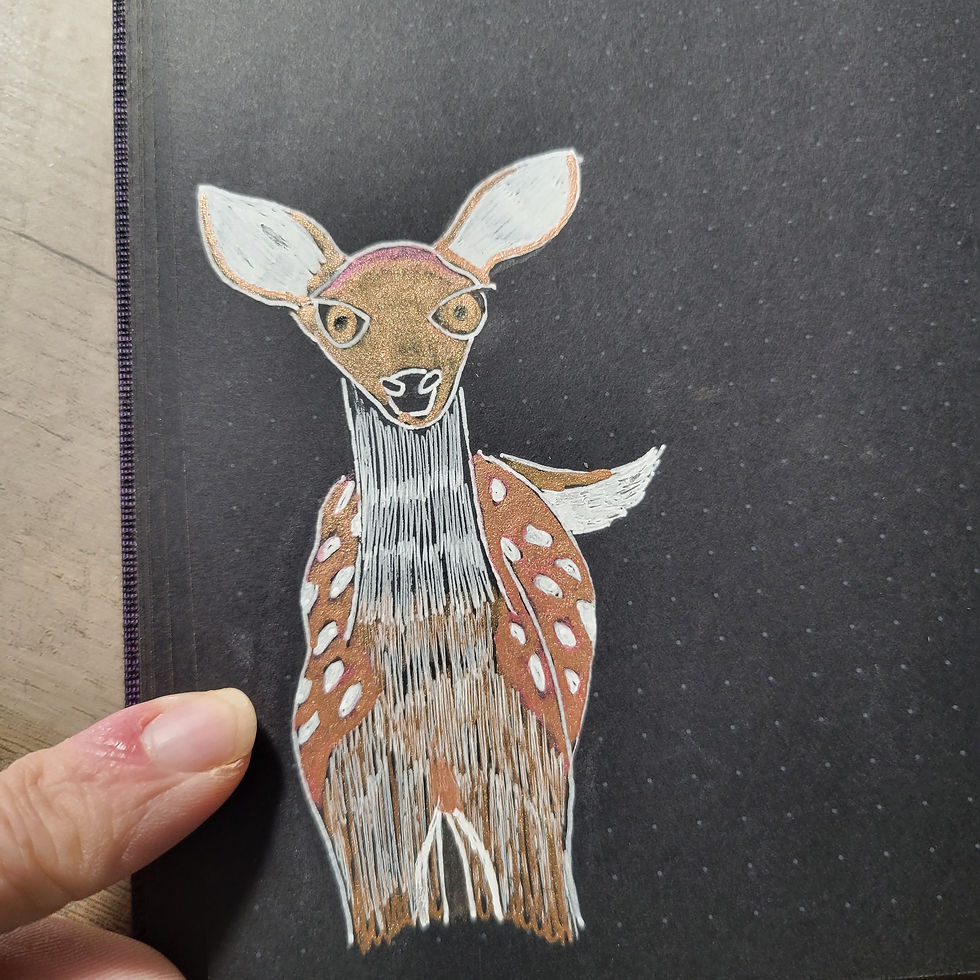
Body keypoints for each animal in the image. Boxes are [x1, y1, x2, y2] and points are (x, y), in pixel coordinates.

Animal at [197, 149, 664, 952]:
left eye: (464, 307)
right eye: (338, 320)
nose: (411, 382)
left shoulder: (535, 773)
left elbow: (547, 908)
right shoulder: (347, 793)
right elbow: (381, 912)